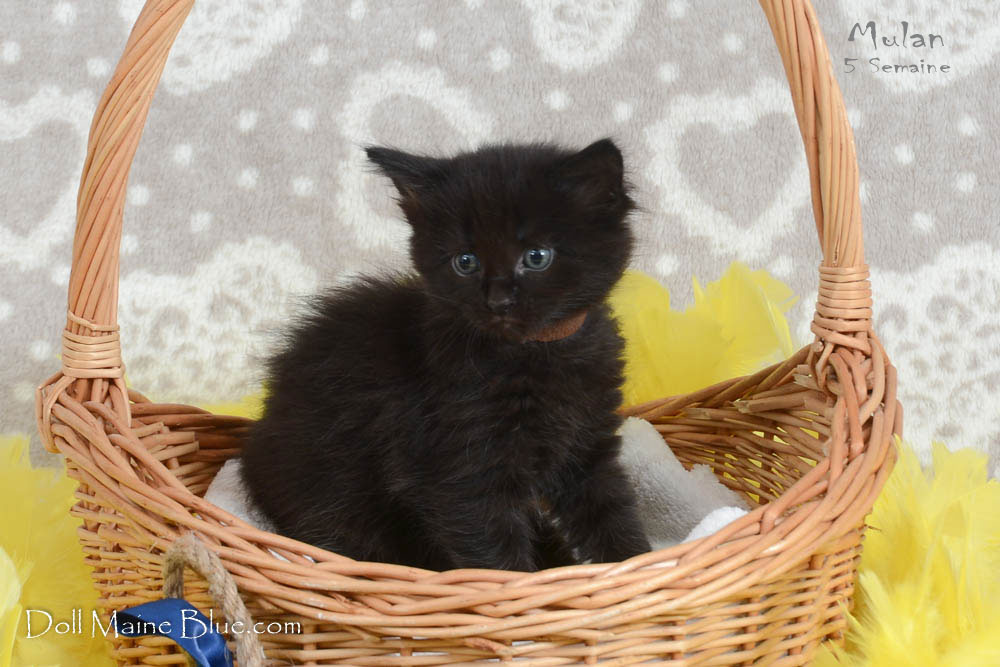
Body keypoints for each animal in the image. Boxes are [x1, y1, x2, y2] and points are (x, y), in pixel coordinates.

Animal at [240, 138, 651, 571]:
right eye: (465, 262)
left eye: (537, 256)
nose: (498, 301)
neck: (538, 352)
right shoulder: (461, 471)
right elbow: (495, 555)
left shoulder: (588, 446)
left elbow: (612, 514)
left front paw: (637, 567)